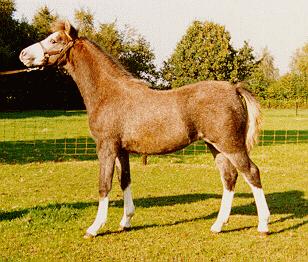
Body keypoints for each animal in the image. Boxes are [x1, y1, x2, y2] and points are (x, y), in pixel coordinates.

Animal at [19, 20, 270, 237]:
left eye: (54, 40)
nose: (23, 54)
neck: (109, 94)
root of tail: (234, 88)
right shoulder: (122, 150)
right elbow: (125, 181)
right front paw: (126, 221)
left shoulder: (106, 147)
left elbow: (104, 185)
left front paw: (94, 228)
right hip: (215, 147)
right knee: (229, 177)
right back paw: (218, 225)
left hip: (231, 145)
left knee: (252, 173)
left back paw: (263, 225)